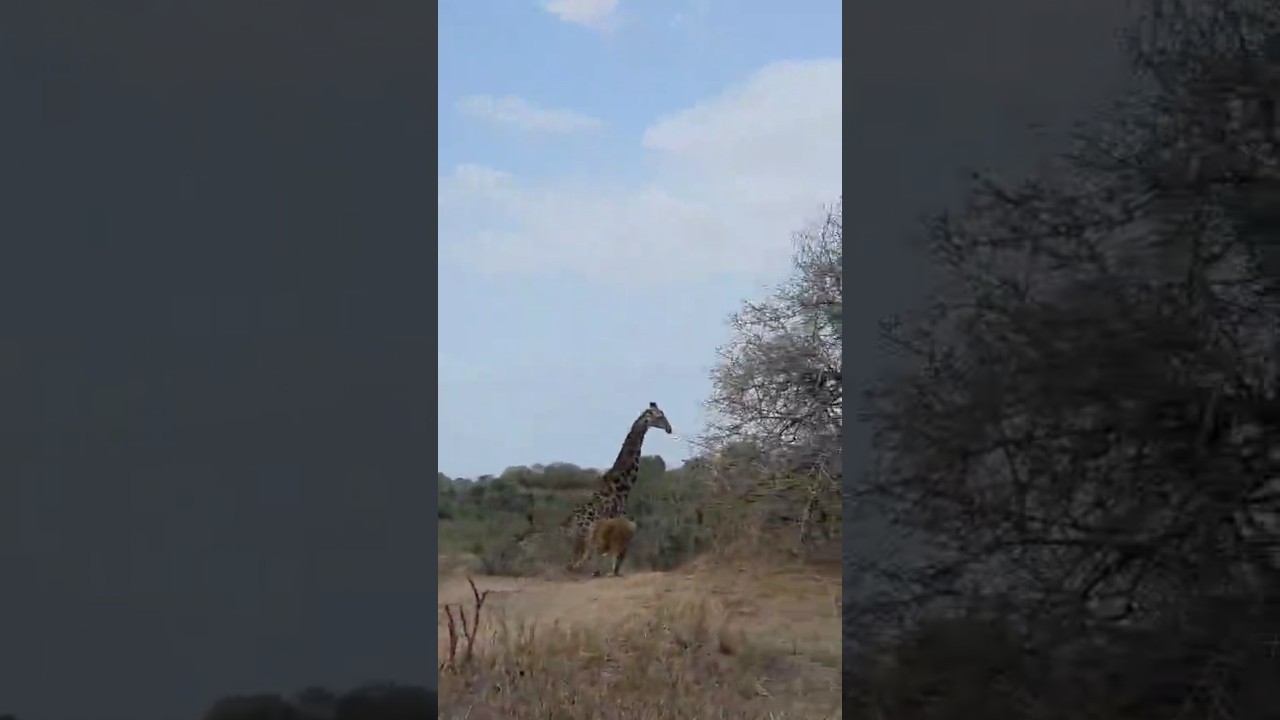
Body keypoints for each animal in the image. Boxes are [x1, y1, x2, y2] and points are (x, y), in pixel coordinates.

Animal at [562, 401, 672, 576]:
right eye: (659, 416)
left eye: (663, 414)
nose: (669, 428)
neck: (623, 485)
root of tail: (567, 525)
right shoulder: (619, 520)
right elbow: (617, 556)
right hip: (583, 537)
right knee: (580, 561)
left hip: (578, 541)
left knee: (574, 562)